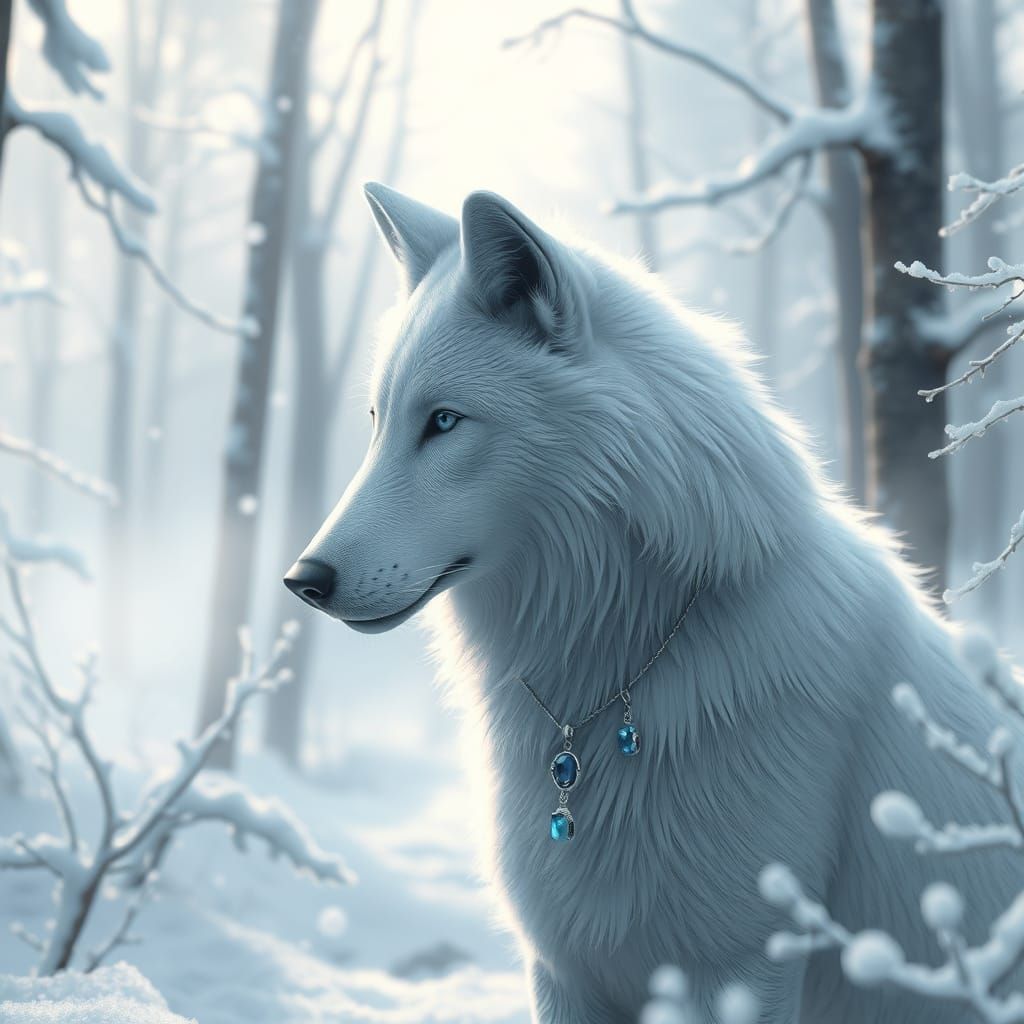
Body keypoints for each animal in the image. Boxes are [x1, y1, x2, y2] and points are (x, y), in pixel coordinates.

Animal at [285, 183, 1021, 1023]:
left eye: (443, 421)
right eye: (377, 421)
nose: (303, 580)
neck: (607, 674)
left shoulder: (742, 967)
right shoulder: (562, 970)